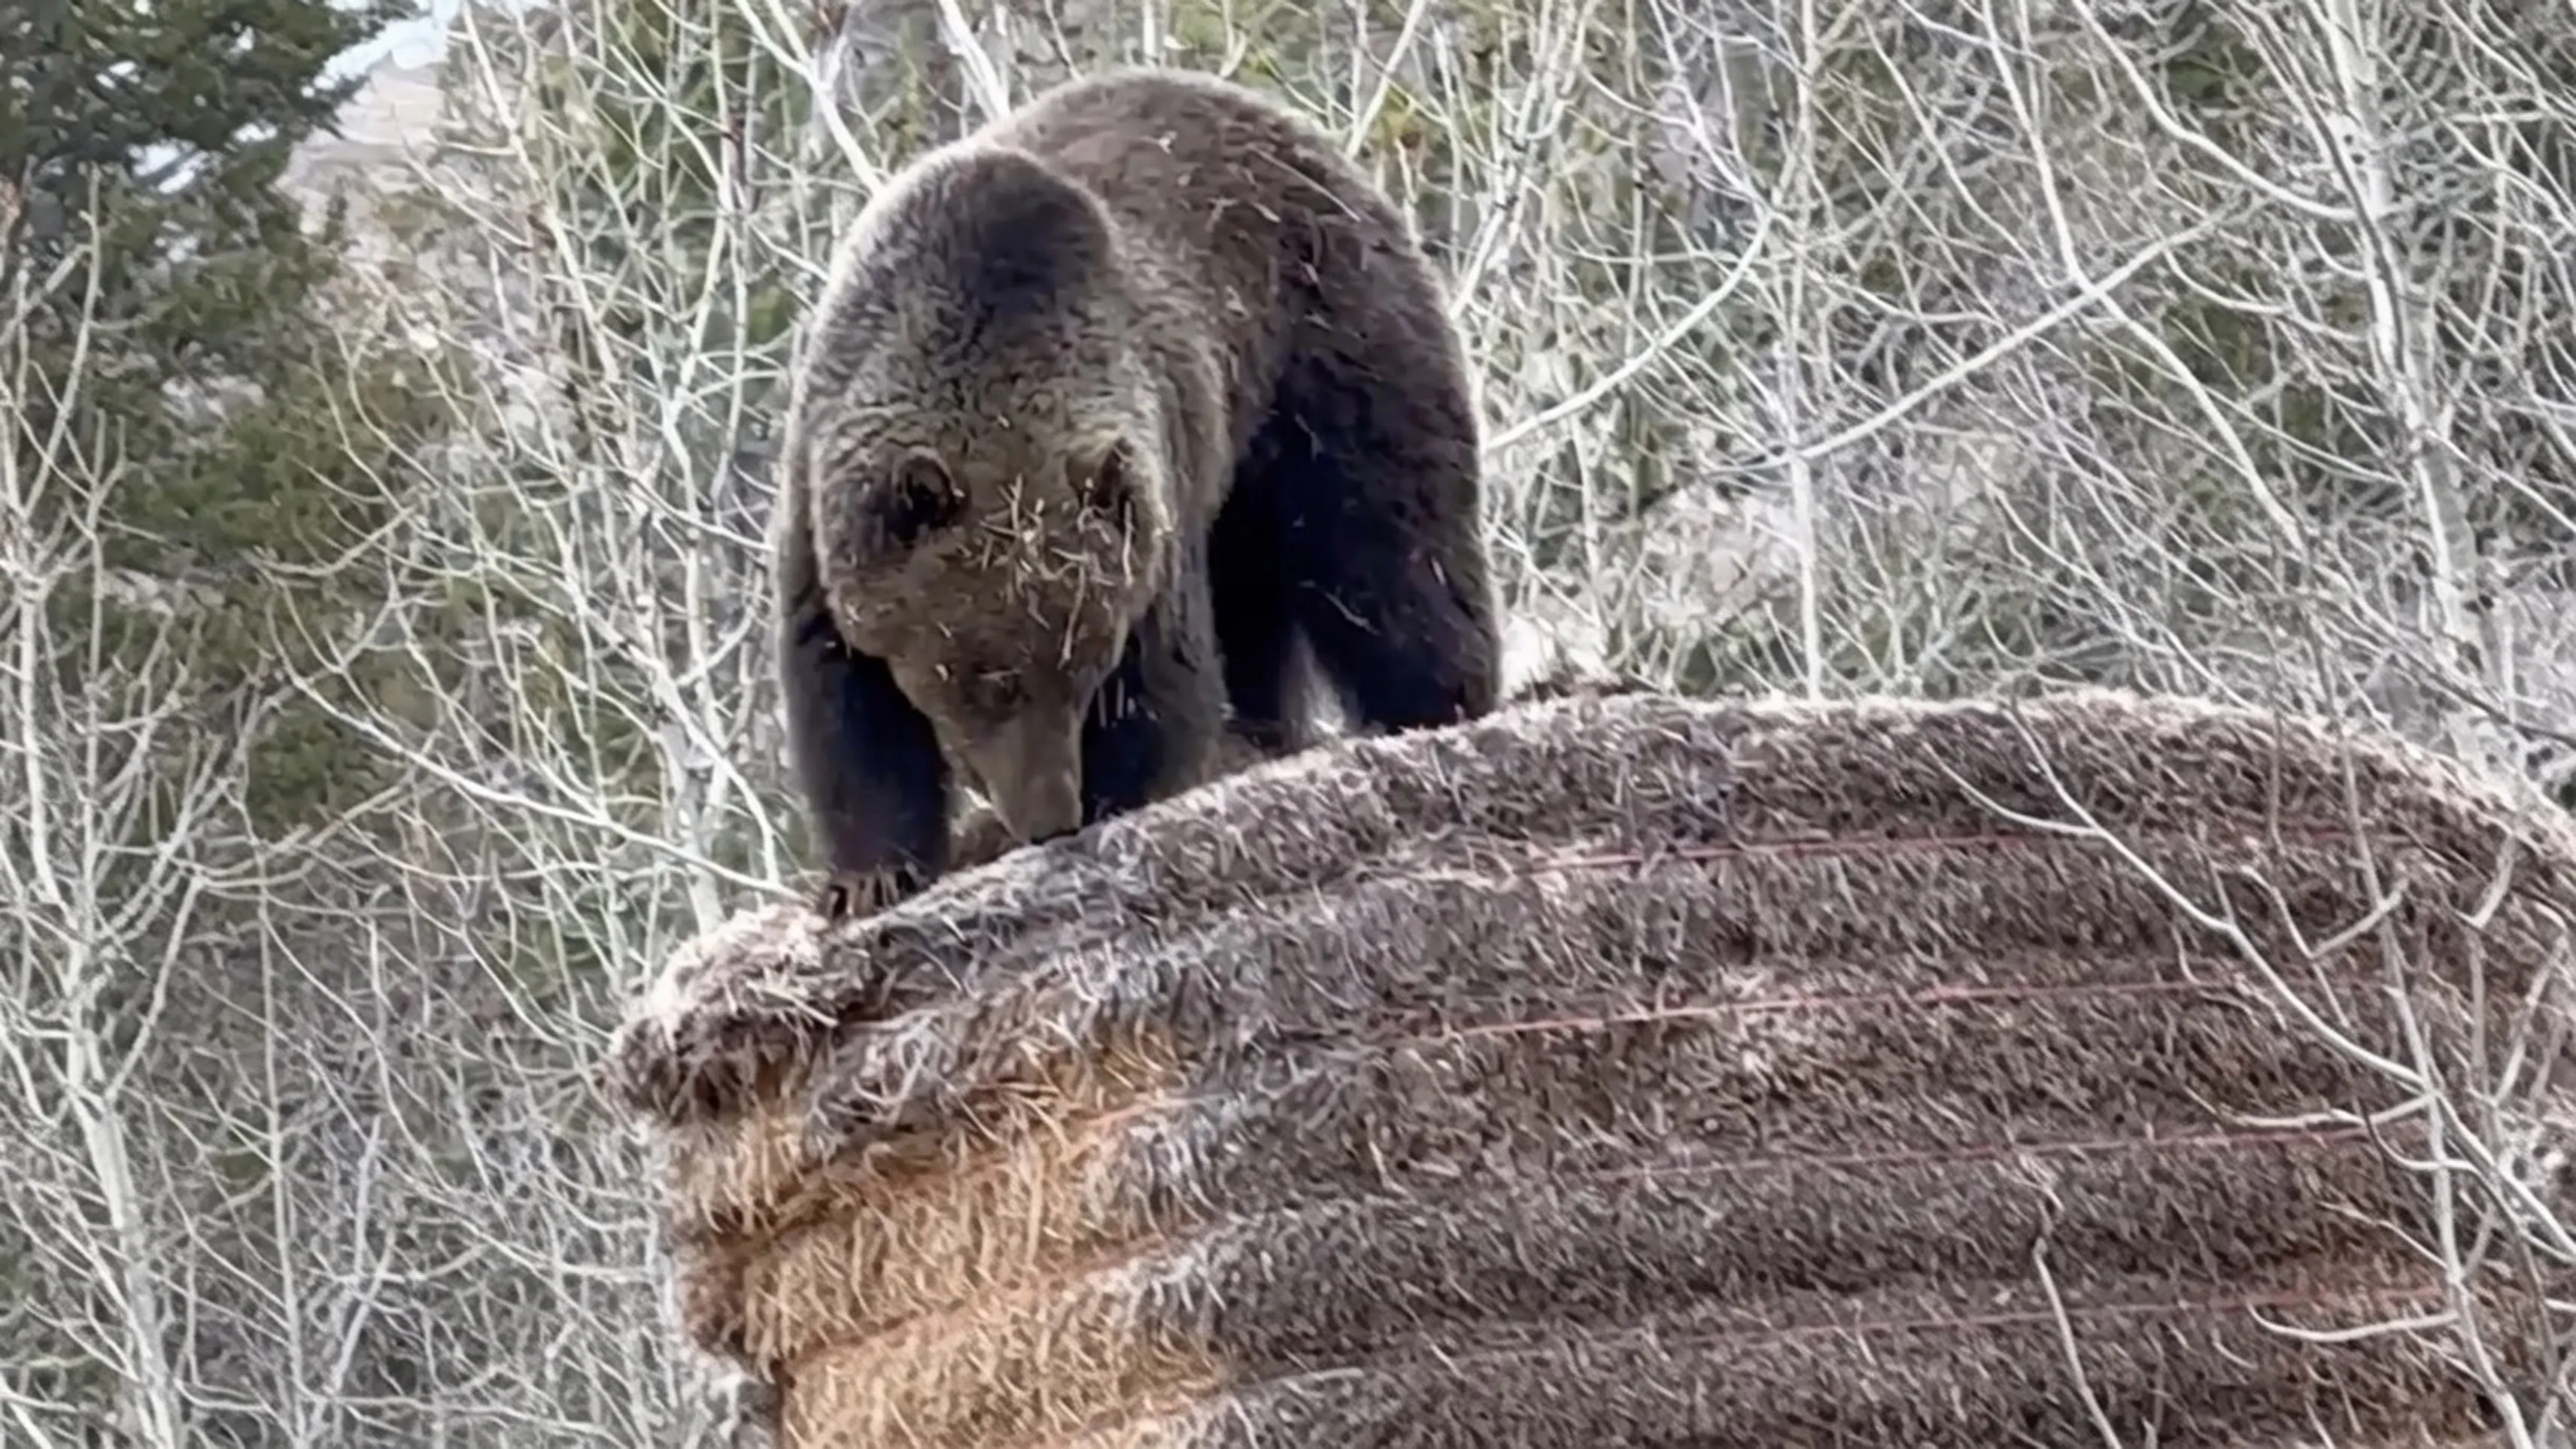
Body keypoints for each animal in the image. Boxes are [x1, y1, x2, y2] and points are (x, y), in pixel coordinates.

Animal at [772, 65, 1502, 922]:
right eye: (992, 675)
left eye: (1087, 666)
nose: (1049, 815)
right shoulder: (825, 508)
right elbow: (844, 700)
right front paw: (873, 874)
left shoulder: (1154, 504)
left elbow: (1165, 681)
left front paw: (1126, 796)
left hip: (1329, 357)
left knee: (1387, 548)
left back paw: (1433, 707)